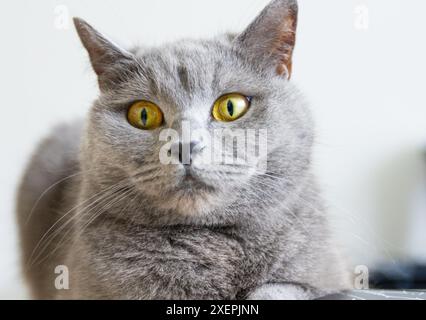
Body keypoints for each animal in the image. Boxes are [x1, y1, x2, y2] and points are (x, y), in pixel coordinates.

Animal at [15, 0, 350, 300]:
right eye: (143, 114)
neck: (209, 245)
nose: (186, 145)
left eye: (231, 107)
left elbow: (286, 288)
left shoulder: (331, 273)